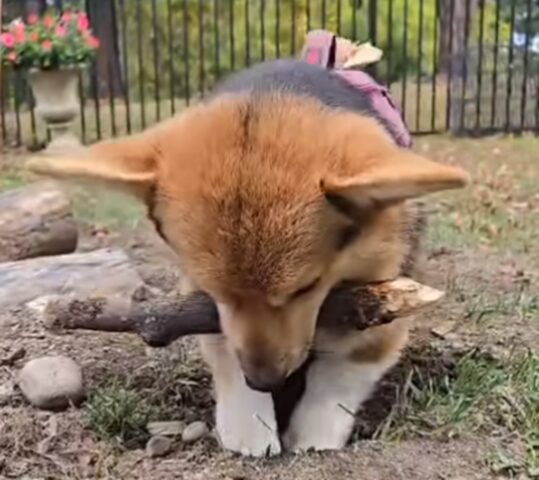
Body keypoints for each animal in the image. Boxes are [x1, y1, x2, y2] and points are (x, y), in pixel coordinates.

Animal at [28, 60, 468, 458]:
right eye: (214, 292)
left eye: (307, 287)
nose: (264, 381)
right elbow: (224, 349)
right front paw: (250, 427)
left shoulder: (387, 289)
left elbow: (347, 367)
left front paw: (313, 433)